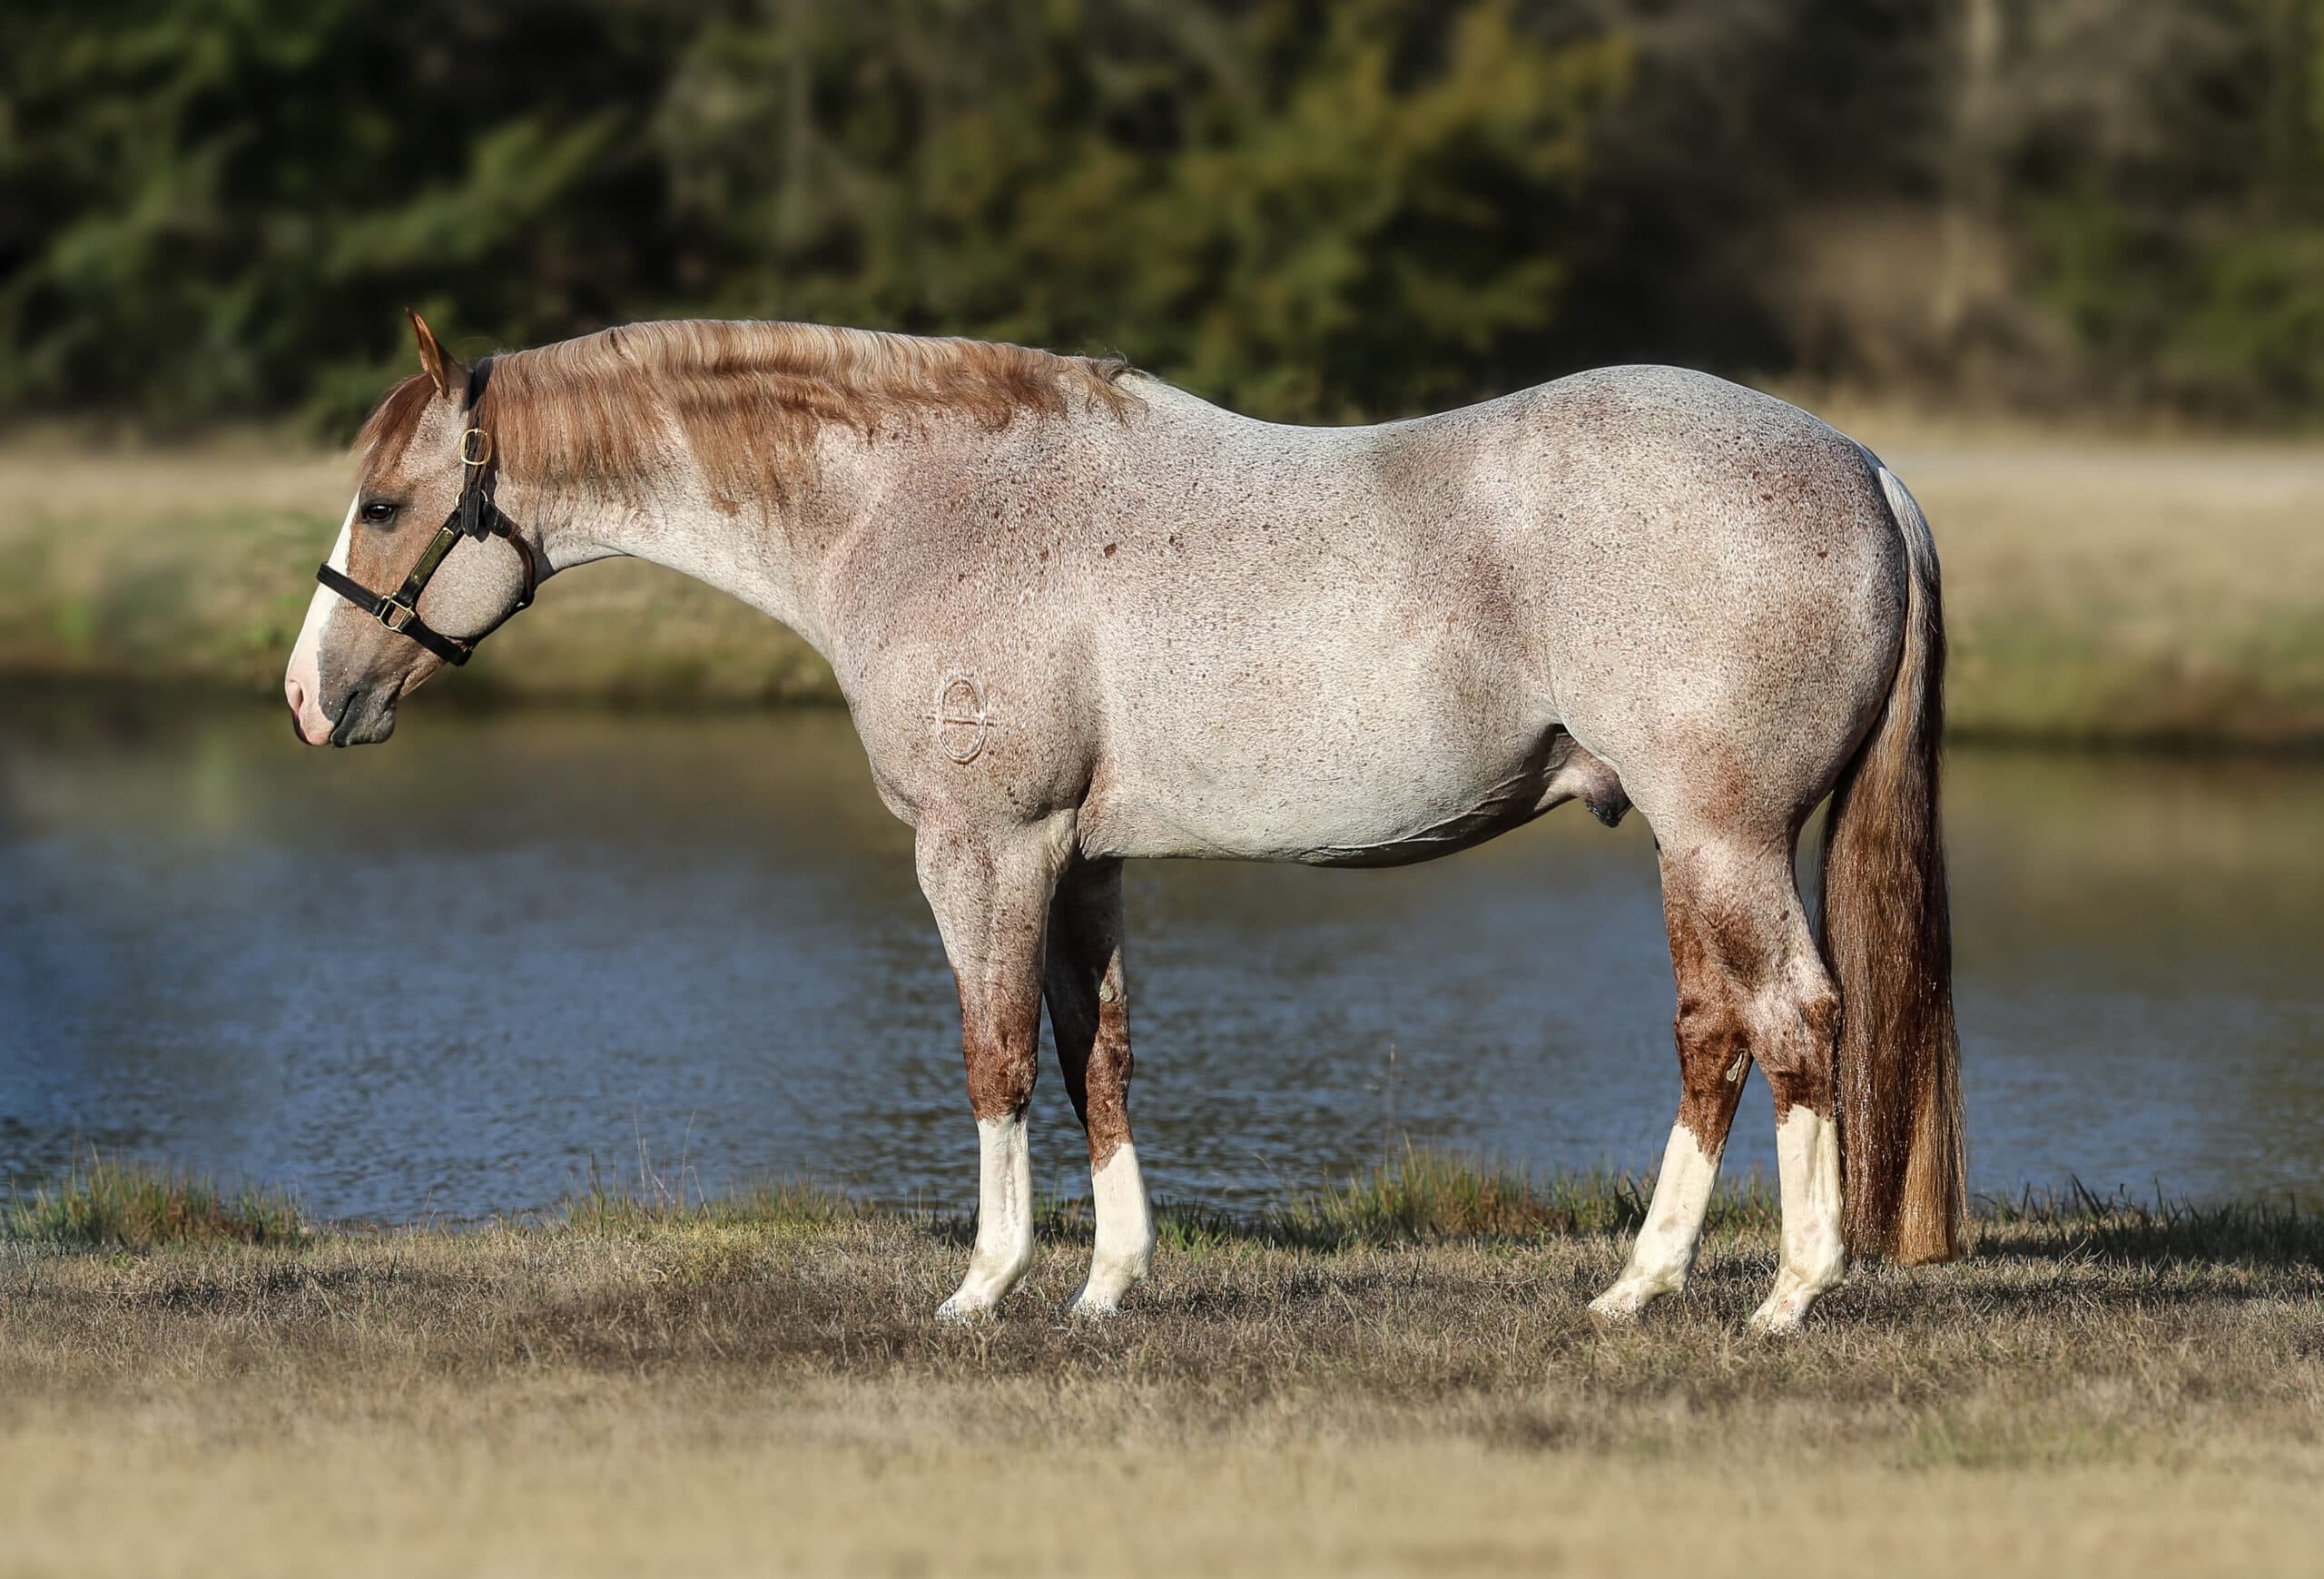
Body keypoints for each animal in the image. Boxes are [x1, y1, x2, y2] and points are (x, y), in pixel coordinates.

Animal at [285, 312, 1965, 1331]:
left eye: (384, 503)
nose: (307, 699)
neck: (917, 505)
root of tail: (1864, 466)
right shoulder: (1082, 863)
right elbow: (1098, 1054)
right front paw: (1110, 1281)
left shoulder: (983, 848)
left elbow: (997, 1057)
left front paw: (985, 1284)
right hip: (1694, 849)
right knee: (1716, 1030)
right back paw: (1638, 1284)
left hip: (1725, 837)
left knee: (1798, 1018)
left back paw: (1789, 1291)